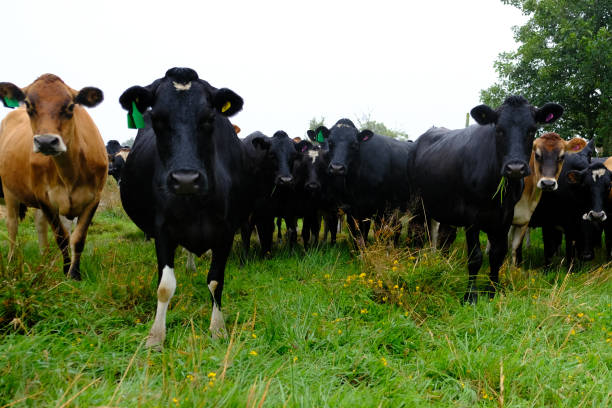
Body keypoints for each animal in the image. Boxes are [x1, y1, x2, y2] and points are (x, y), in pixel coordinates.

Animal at [0, 74, 107, 280]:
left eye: (71, 106)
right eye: (29, 105)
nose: (46, 141)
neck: (71, 172)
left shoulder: (94, 198)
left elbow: (78, 238)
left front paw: (75, 273)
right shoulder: (44, 198)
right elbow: (62, 237)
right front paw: (66, 271)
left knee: (40, 225)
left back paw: (44, 260)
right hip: (9, 190)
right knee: (12, 225)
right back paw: (10, 261)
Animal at [117, 67, 246, 348]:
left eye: (209, 118)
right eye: (157, 118)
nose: (185, 179)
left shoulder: (227, 230)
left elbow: (216, 280)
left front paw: (218, 329)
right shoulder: (162, 230)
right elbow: (165, 286)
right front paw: (156, 336)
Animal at [408, 94, 560, 302]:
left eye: (532, 130)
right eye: (499, 130)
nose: (515, 168)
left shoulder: (505, 217)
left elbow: (498, 255)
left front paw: (492, 291)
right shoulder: (472, 216)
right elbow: (475, 257)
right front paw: (470, 296)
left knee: (442, 236)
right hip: (417, 203)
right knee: (416, 232)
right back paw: (414, 262)